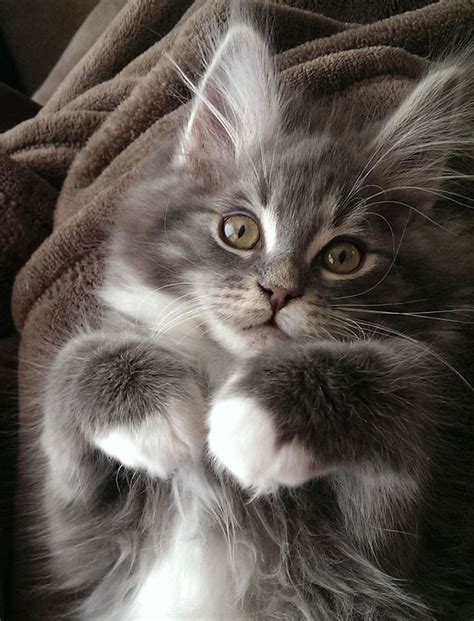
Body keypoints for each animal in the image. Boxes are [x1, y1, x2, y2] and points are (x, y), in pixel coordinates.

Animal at [40, 14, 474, 620]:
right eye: (240, 231)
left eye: (344, 257)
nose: (279, 291)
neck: (227, 365)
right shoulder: (84, 545)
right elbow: (71, 360)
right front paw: (148, 412)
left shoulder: (399, 553)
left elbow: (396, 381)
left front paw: (255, 416)